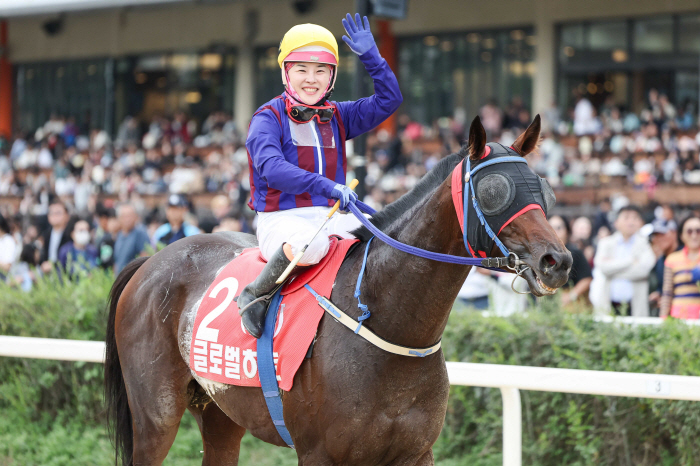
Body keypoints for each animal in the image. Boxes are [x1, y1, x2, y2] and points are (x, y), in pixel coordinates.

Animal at [105, 114, 576, 464]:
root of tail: (151, 260)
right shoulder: (320, 454)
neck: (389, 325)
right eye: (494, 191)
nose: (557, 261)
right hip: (156, 415)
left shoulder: (415, 453)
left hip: (221, 413)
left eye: (544, 189)